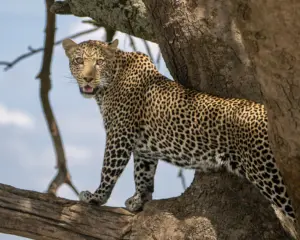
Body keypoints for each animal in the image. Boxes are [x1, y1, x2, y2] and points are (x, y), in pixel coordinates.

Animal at [61, 38, 296, 223]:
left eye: (99, 62)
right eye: (79, 61)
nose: (88, 78)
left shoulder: (119, 135)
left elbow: (109, 170)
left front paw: (96, 197)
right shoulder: (143, 147)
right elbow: (143, 173)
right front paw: (139, 200)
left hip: (270, 174)